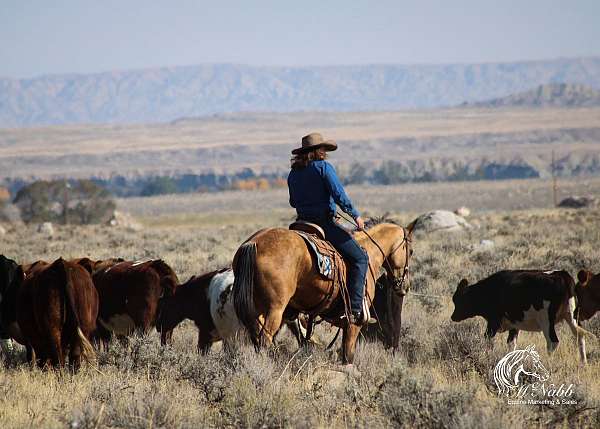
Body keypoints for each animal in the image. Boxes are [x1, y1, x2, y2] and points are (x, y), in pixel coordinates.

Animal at [230, 219, 412, 366]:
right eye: (410, 251)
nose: (405, 286)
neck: (370, 253)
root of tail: (253, 243)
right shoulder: (354, 322)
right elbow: (348, 355)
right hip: (274, 310)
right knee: (264, 340)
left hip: (257, 310)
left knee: (257, 338)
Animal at [450, 270, 592, 362]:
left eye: (459, 300)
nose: (453, 317)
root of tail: (562, 275)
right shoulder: (514, 323)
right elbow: (511, 343)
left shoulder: (493, 321)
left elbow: (488, 340)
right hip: (573, 316)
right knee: (580, 336)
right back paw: (583, 363)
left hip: (546, 321)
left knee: (553, 341)